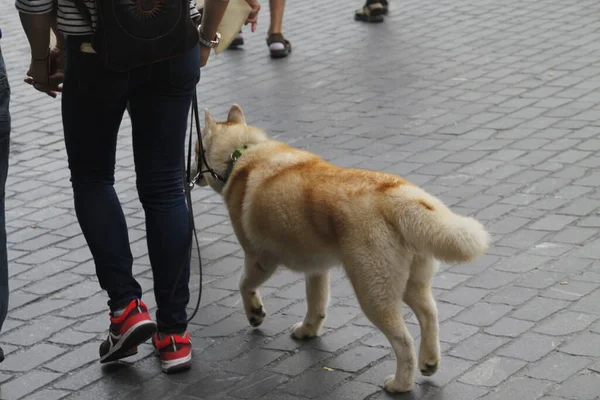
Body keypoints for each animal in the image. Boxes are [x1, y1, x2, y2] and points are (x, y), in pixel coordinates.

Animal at [195, 104, 490, 394]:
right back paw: (429, 361)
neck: (242, 153)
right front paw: (308, 331)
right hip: (410, 283)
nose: (190, 174)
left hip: (374, 295)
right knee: (430, 315)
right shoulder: (316, 268)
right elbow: (316, 304)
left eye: (197, 149)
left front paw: (255, 313)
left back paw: (400, 385)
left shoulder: (259, 260)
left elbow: (244, 285)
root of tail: (396, 195)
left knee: (404, 342)